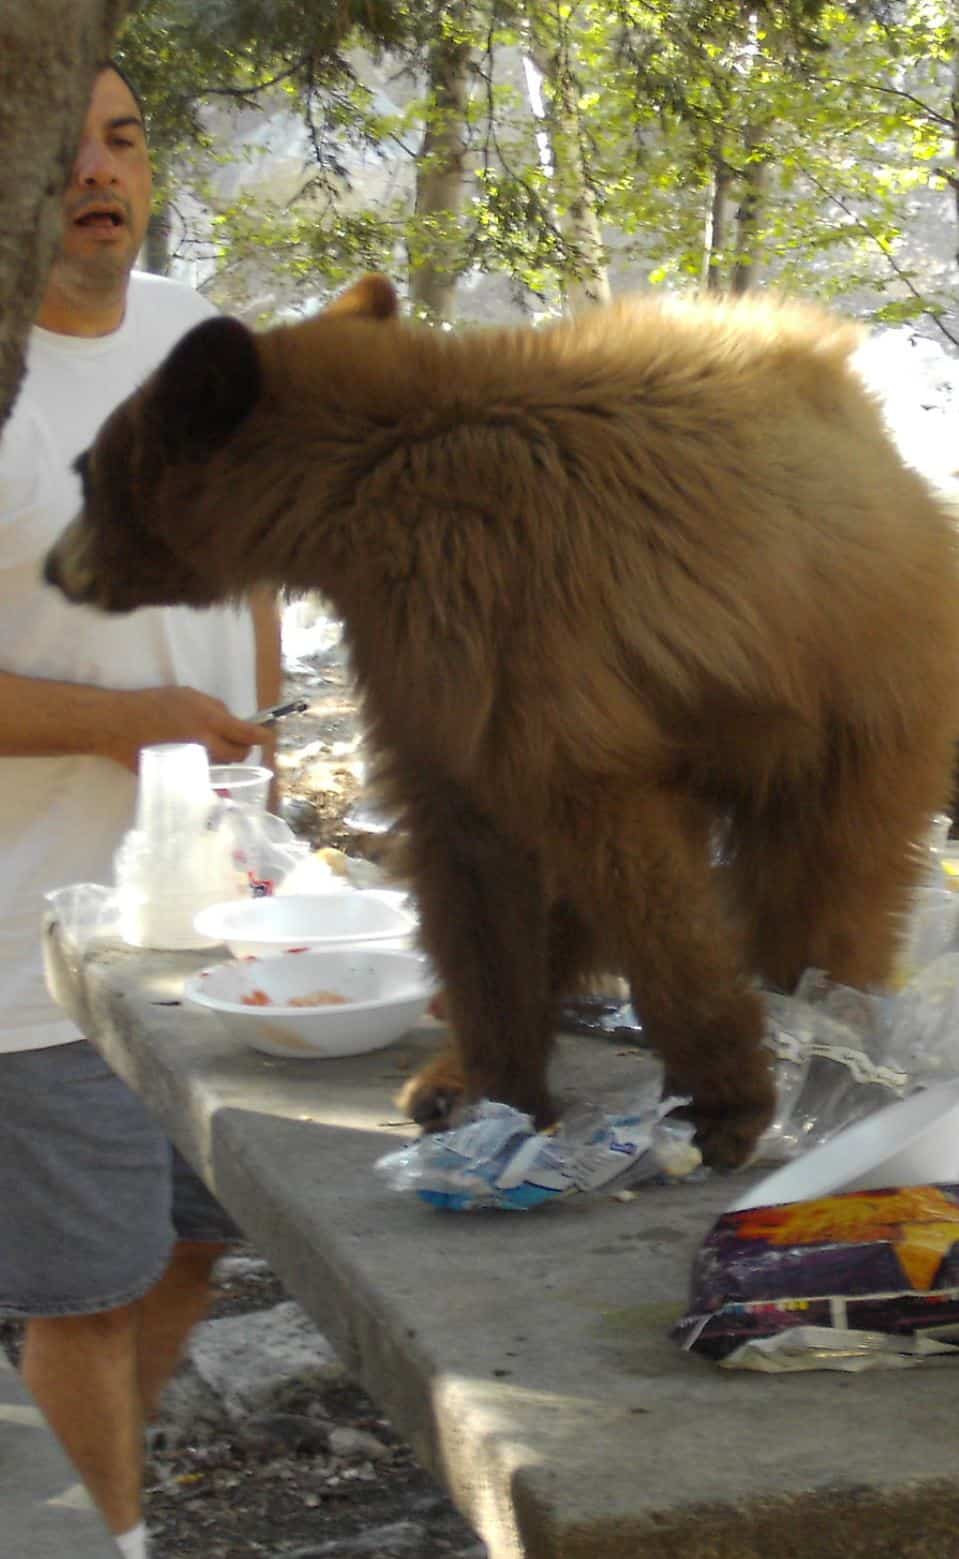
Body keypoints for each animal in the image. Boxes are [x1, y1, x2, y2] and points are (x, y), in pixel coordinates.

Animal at [46, 274, 959, 1166]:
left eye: (84, 472)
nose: (54, 568)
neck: (366, 476)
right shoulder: (427, 654)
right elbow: (470, 853)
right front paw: (491, 1089)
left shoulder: (494, 609)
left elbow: (603, 849)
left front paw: (720, 1104)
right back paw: (448, 1071)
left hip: (855, 689)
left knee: (825, 872)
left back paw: (827, 1025)